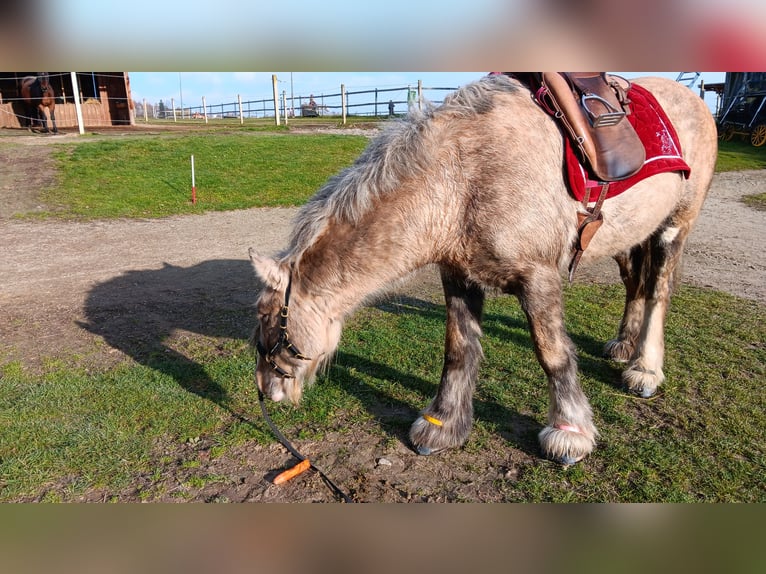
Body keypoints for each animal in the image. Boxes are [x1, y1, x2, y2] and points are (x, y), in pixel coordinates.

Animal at [249, 74, 718, 465]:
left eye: (266, 319)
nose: (267, 392)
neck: (462, 177)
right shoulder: (458, 274)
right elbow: (458, 349)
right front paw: (442, 426)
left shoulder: (539, 278)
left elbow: (553, 354)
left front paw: (570, 434)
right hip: (630, 236)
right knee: (634, 284)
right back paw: (623, 345)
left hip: (673, 228)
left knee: (657, 291)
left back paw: (644, 369)